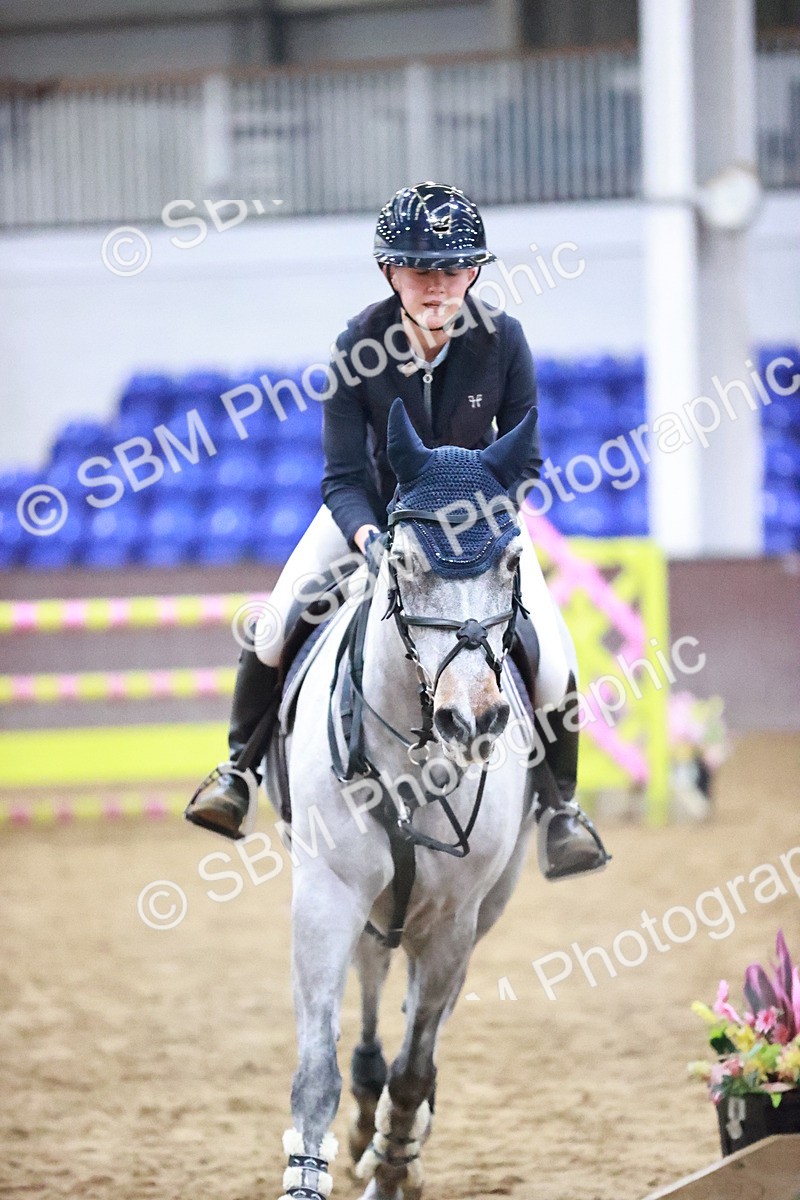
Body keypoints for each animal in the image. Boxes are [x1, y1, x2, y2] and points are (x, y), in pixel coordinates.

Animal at [264, 399, 561, 1200]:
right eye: (401, 563)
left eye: (511, 562)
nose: (473, 721)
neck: (414, 757)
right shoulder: (326, 895)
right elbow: (317, 1071)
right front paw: (313, 1170)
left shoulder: (456, 918)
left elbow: (416, 1062)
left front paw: (395, 1165)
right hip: (372, 904)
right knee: (369, 996)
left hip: (480, 909)